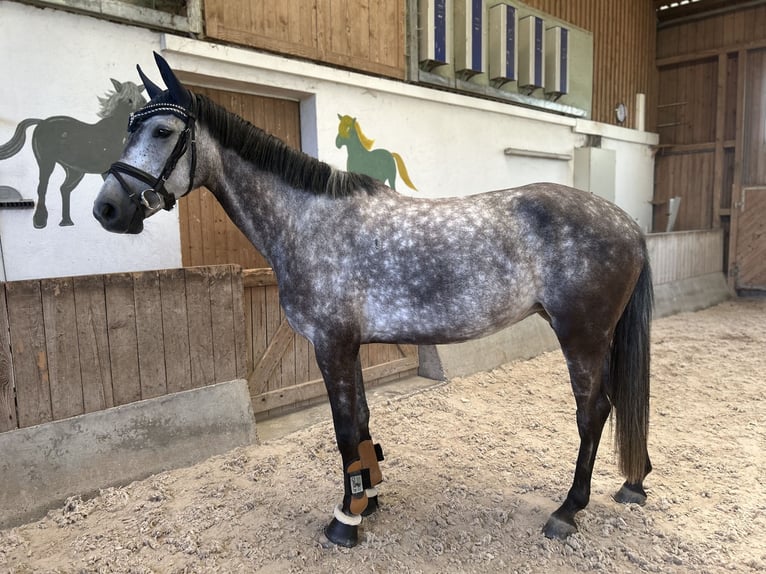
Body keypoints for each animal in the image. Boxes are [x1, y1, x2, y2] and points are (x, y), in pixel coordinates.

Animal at [94, 55, 656, 552]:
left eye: (162, 131)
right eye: (127, 129)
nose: (107, 208)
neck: (308, 222)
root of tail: (627, 224)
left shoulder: (331, 345)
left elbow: (345, 430)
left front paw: (346, 520)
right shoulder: (350, 347)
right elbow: (362, 422)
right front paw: (370, 500)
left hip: (582, 336)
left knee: (593, 412)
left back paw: (568, 510)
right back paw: (633, 482)